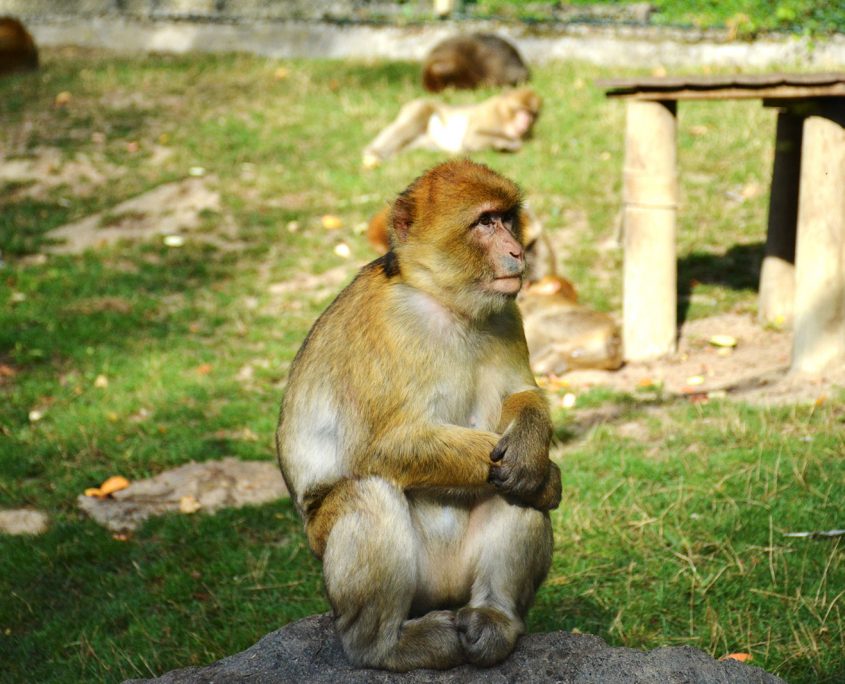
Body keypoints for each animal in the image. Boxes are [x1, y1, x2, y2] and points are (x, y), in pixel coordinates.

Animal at [276, 159, 564, 668]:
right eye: (484, 222)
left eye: (508, 218)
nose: (516, 251)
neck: (444, 301)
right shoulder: (385, 325)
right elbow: (378, 449)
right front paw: (549, 474)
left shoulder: (507, 314)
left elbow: (520, 396)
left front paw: (532, 450)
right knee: (367, 495)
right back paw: (386, 646)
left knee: (517, 493)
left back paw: (495, 618)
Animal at [362, 86, 540, 168]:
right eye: (521, 111)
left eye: (531, 114)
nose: (525, 121)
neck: (504, 114)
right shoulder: (490, 113)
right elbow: (472, 138)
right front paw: (509, 143)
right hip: (420, 106)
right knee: (410, 123)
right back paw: (373, 152)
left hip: (423, 139)